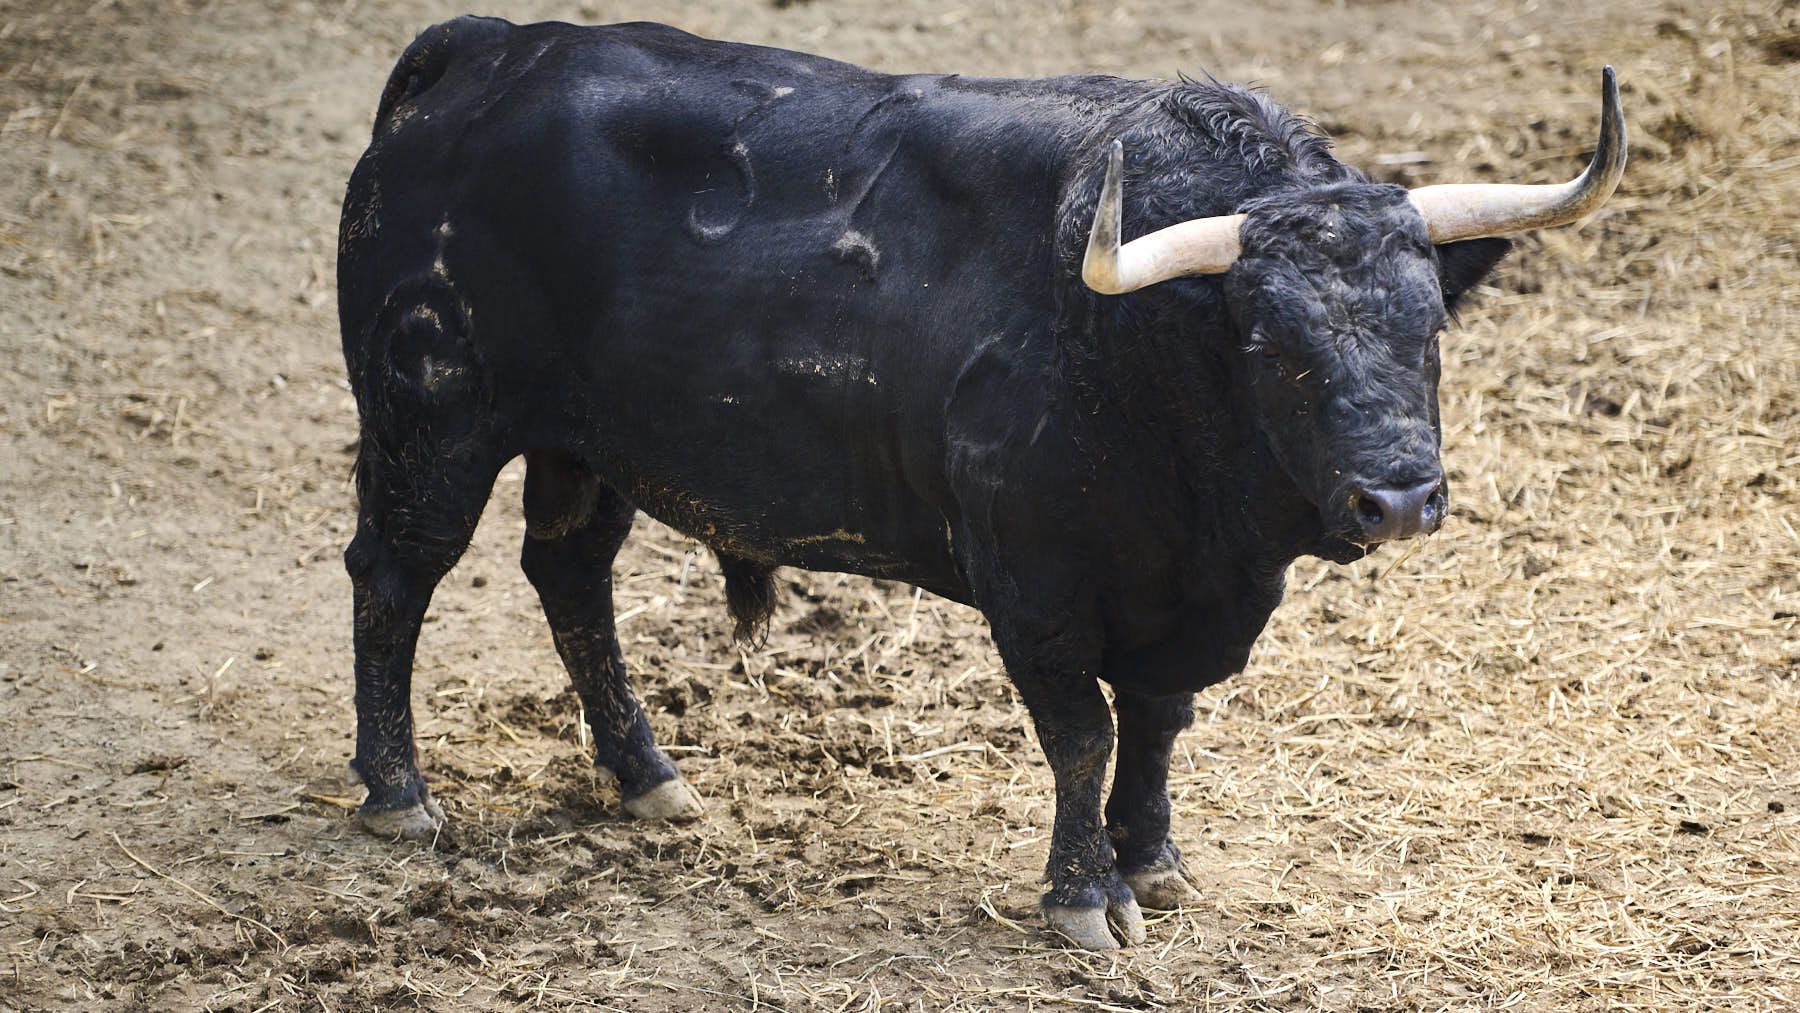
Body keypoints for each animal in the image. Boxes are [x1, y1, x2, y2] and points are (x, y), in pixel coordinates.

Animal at [338, 13, 1634, 950]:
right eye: (1272, 342)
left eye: (1430, 327)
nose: (1400, 499)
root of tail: (489, 50)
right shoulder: (1034, 583)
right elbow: (1082, 731)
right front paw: (1084, 894)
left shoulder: (1183, 600)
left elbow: (1156, 724)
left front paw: (1151, 859)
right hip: (431, 420)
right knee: (393, 577)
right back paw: (399, 790)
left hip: (584, 444)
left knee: (569, 575)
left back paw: (649, 775)